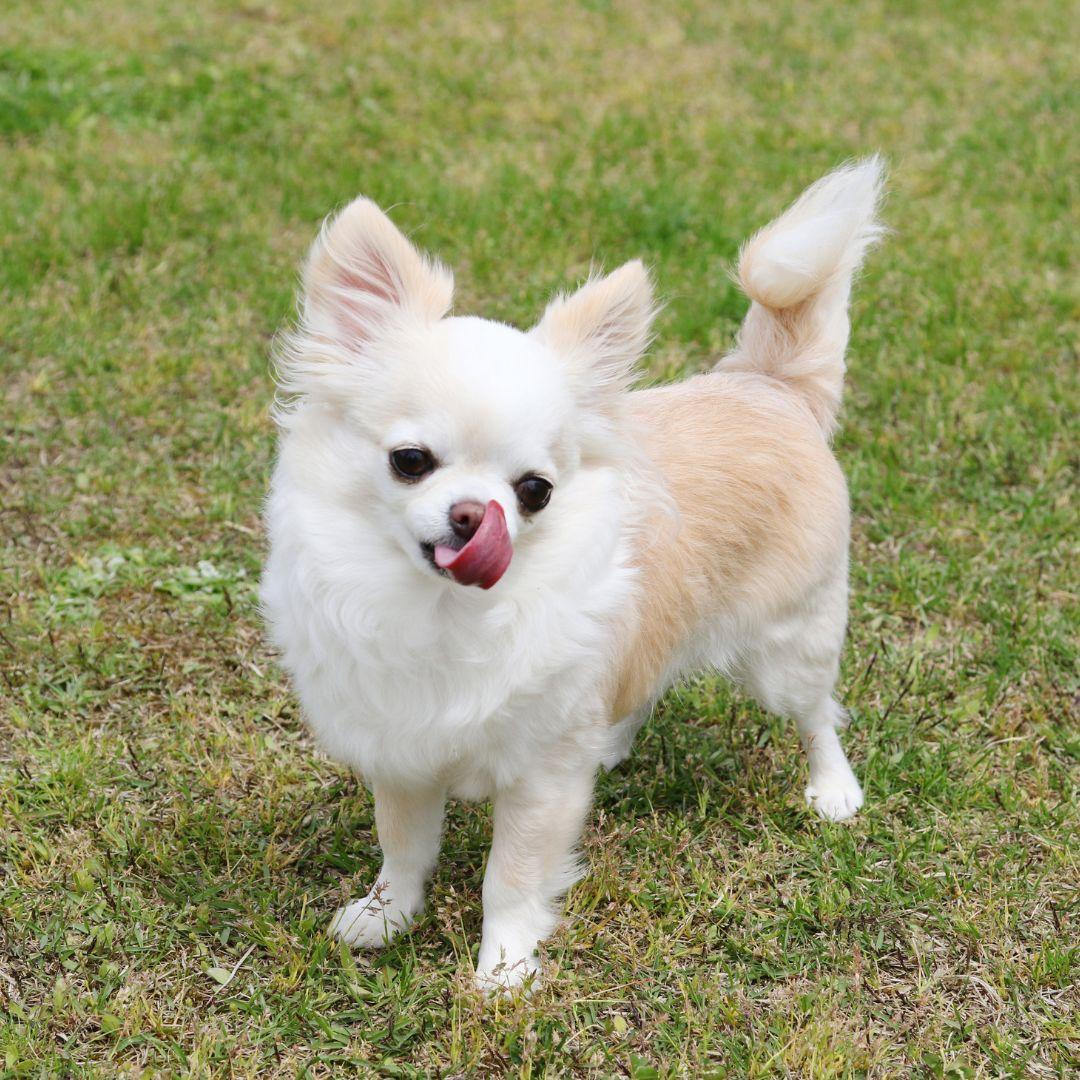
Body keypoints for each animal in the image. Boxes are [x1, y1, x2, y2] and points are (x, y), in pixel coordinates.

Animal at [261, 157, 885, 989]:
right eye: (409, 461)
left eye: (535, 490)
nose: (475, 515)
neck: (443, 613)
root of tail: (766, 384)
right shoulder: (402, 754)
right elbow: (405, 845)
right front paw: (385, 914)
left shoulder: (541, 779)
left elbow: (511, 876)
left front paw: (503, 968)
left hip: (788, 646)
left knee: (816, 714)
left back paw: (833, 789)